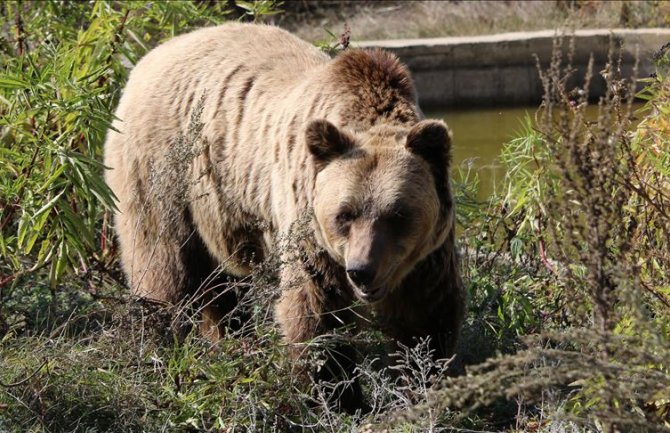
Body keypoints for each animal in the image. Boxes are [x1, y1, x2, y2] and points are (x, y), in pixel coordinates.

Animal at [103, 22, 468, 410]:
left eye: (397, 214)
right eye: (344, 214)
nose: (362, 270)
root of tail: (147, 58)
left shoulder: (426, 254)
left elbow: (425, 315)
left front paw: (422, 386)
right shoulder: (308, 224)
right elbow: (317, 313)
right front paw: (339, 398)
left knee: (219, 286)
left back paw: (231, 343)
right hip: (164, 171)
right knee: (165, 265)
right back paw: (162, 346)